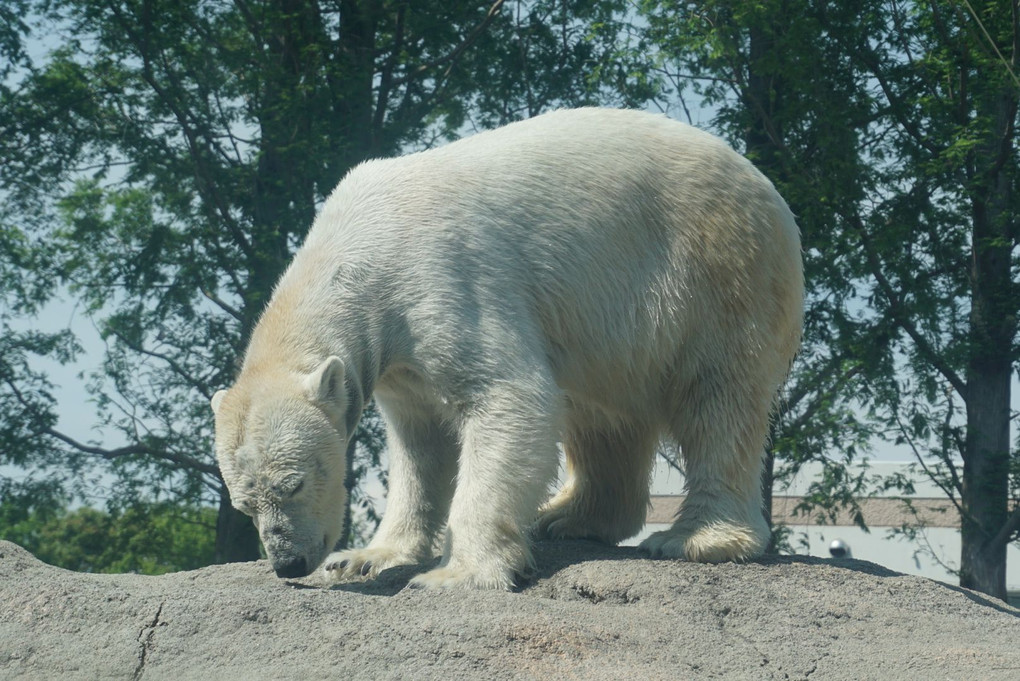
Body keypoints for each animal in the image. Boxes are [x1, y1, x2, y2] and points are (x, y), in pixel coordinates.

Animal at [211, 107, 803, 591]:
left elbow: (507, 397)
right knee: (601, 415)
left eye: (293, 484)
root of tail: (768, 189)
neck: (358, 244)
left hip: (714, 271)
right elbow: (421, 445)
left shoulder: (443, 280)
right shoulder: (397, 358)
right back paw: (567, 516)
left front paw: (455, 573)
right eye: (244, 504)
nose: (287, 563)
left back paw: (696, 539)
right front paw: (363, 557)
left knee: (719, 398)